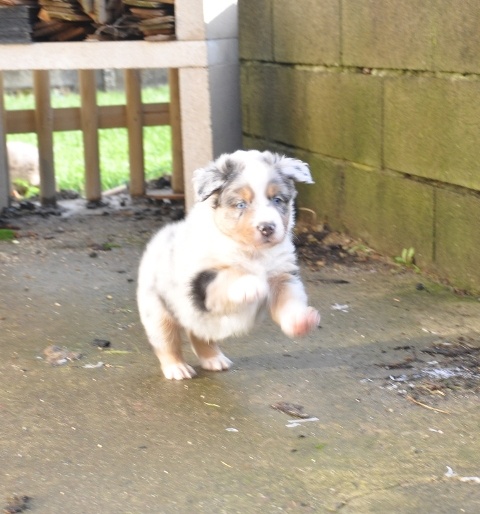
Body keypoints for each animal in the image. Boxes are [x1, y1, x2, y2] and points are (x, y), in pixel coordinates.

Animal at [137, 149, 320, 380]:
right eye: (241, 204)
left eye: (277, 199)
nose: (267, 227)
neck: (253, 253)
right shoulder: (202, 281)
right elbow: (228, 277)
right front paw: (251, 285)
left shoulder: (283, 277)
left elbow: (289, 302)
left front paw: (301, 321)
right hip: (158, 311)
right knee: (166, 342)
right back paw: (177, 368)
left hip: (196, 317)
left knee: (198, 333)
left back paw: (213, 359)